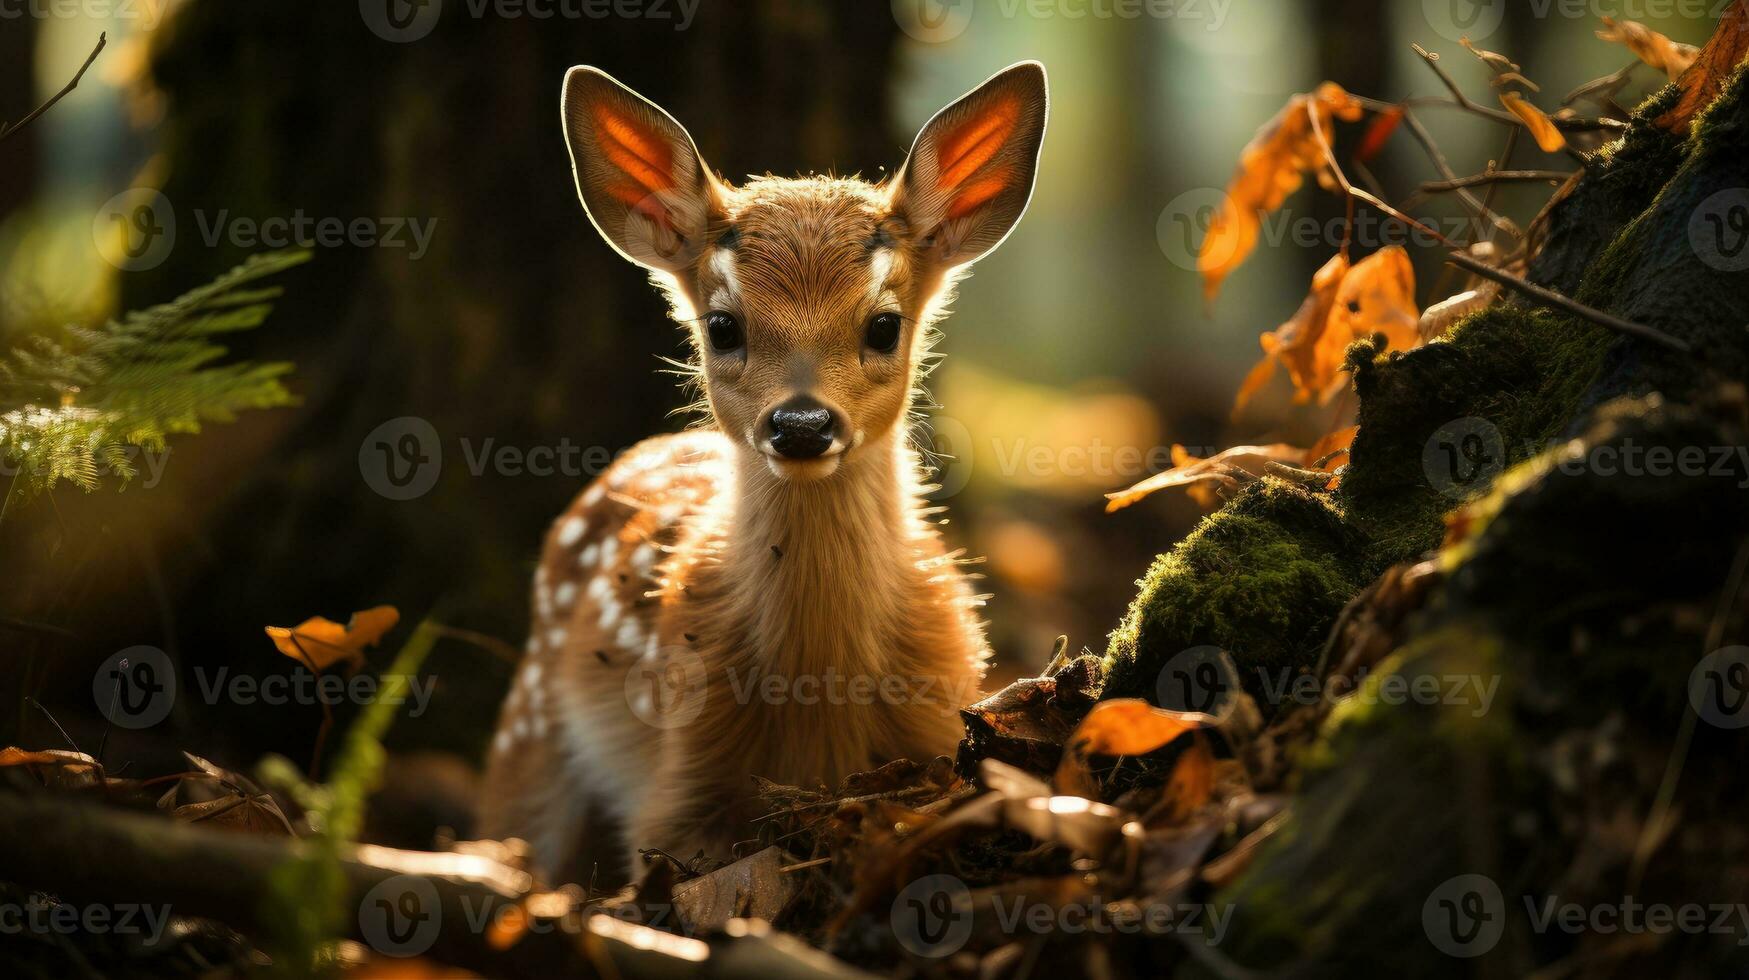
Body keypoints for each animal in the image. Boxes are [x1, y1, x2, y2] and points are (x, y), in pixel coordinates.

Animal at [479, 61, 1042, 875]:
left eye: (883, 326)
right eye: (723, 326)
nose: (802, 424)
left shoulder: (939, 726)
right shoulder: (680, 781)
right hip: (528, 725)